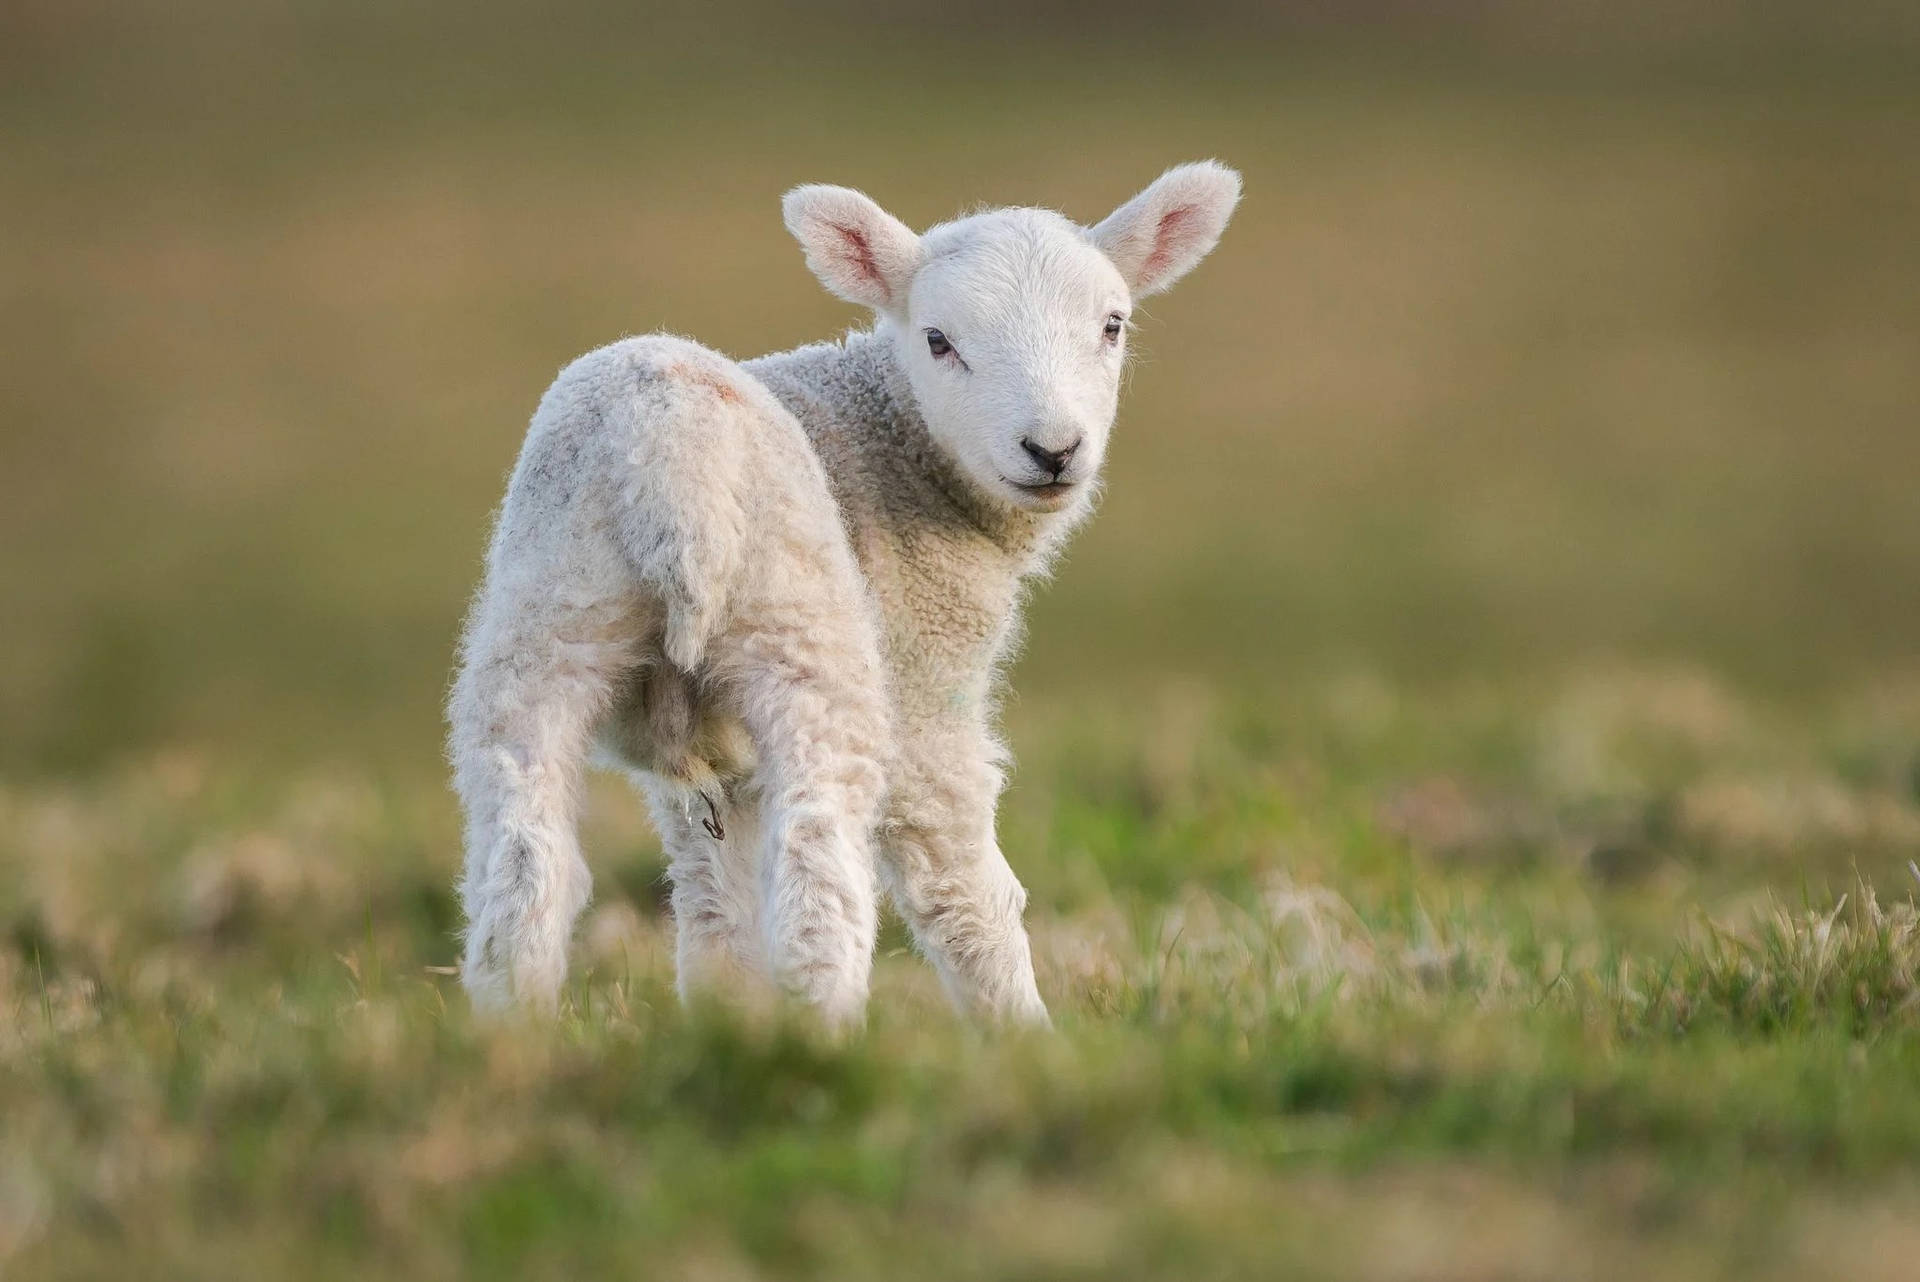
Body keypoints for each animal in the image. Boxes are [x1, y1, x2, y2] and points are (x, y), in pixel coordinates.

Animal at [456, 160, 1251, 1028]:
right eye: (938, 340)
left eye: (1112, 326)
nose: (1053, 450)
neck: (897, 446)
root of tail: (667, 454)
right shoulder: (925, 677)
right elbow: (961, 881)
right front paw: (1024, 1035)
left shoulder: (716, 767)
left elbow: (716, 901)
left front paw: (726, 1019)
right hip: (805, 633)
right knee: (820, 858)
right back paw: (824, 1032)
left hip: (544, 625)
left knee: (524, 858)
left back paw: (514, 1028)